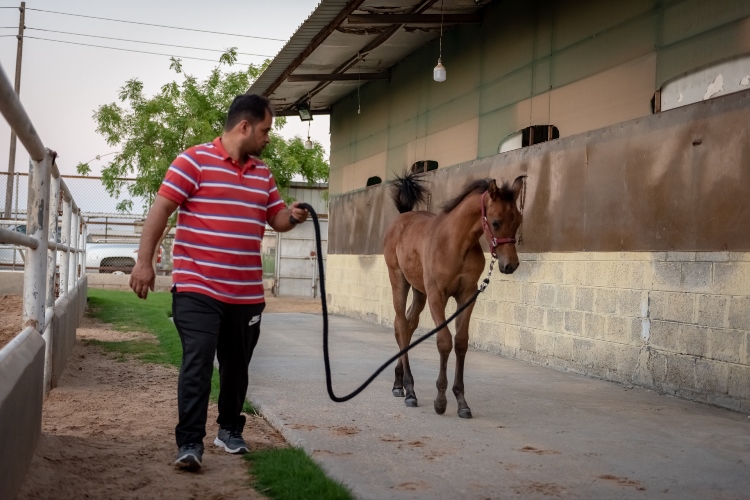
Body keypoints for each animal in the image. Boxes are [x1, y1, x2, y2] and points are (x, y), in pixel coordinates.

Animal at [384, 173, 525, 418]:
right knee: (401, 325)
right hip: (399, 280)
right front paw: (440, 401)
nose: (510, 265)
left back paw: (399, 384)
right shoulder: (437, 295)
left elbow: (460, 342)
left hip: (419, 291)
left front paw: (461, 402)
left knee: (408, 326)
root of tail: (402, 218)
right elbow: (444, 341)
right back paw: (410, 391)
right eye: (495, 222)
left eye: (518, 221)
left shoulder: (467, 296)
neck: (456, 244)